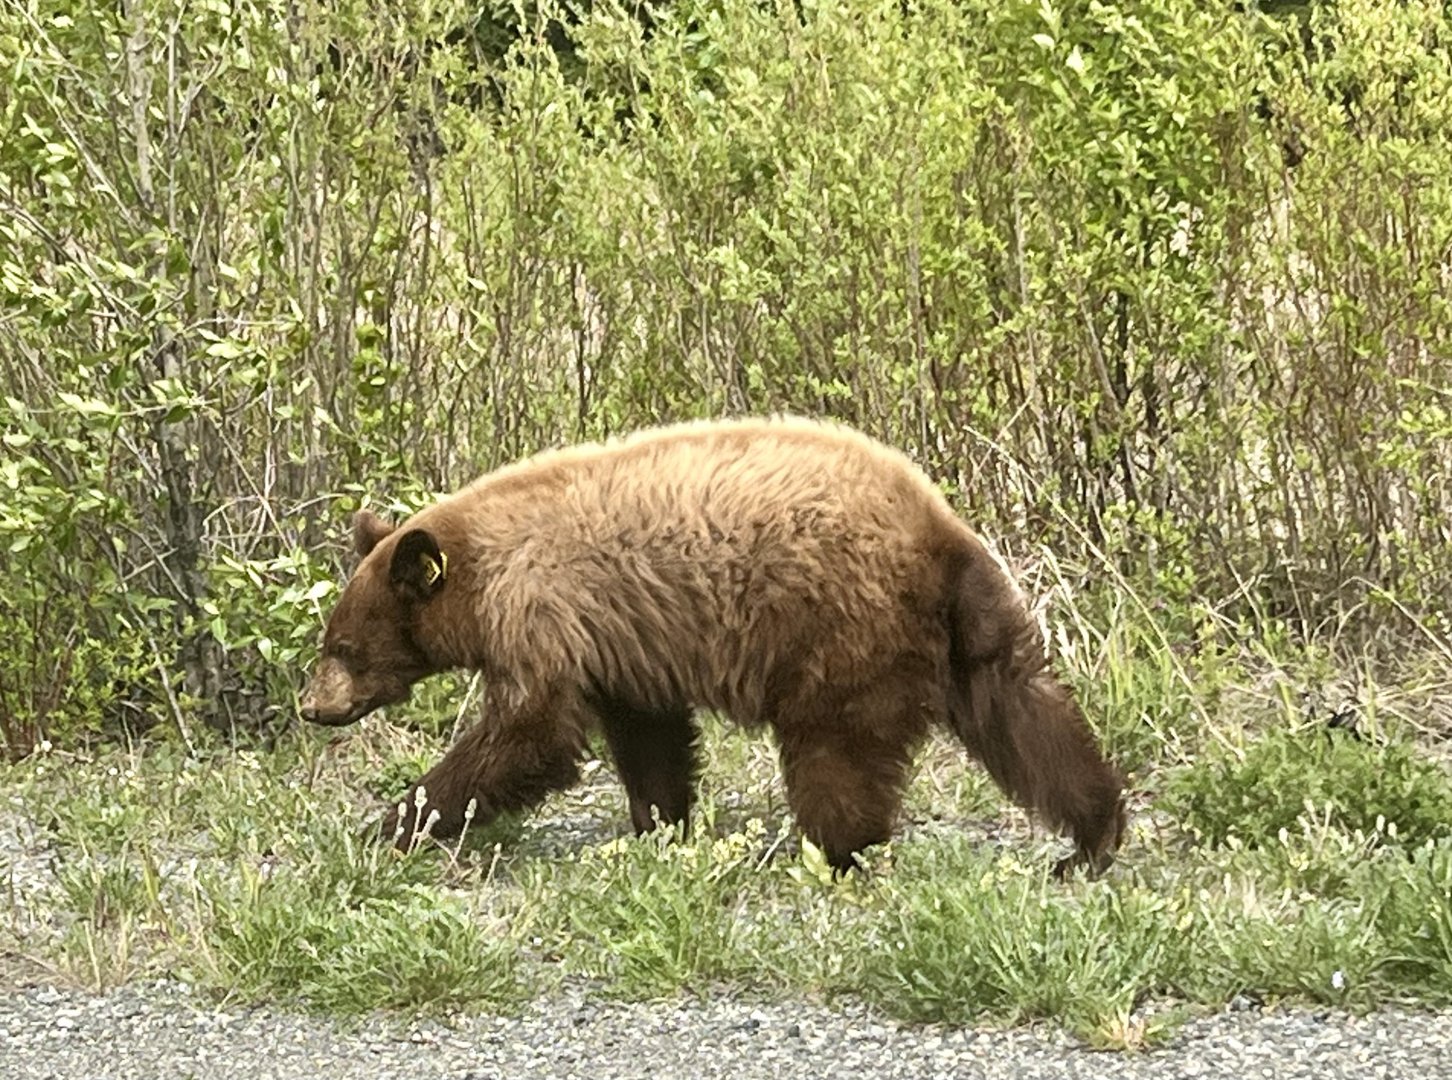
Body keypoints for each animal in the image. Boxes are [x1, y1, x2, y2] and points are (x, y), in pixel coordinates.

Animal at [299, 416, 1126, 877]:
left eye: (344, 645)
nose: (311, 705)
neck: (481, 564)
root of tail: (939, 530)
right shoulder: (620, 643)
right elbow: (648, 733)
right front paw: (662, 826)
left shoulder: (537, 611)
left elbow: (531, 732)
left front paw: (393, 824)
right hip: (970, 628)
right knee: (1027, 713)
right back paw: (1091, 840)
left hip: (840, 630)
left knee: (836, 755)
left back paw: (834, 853)